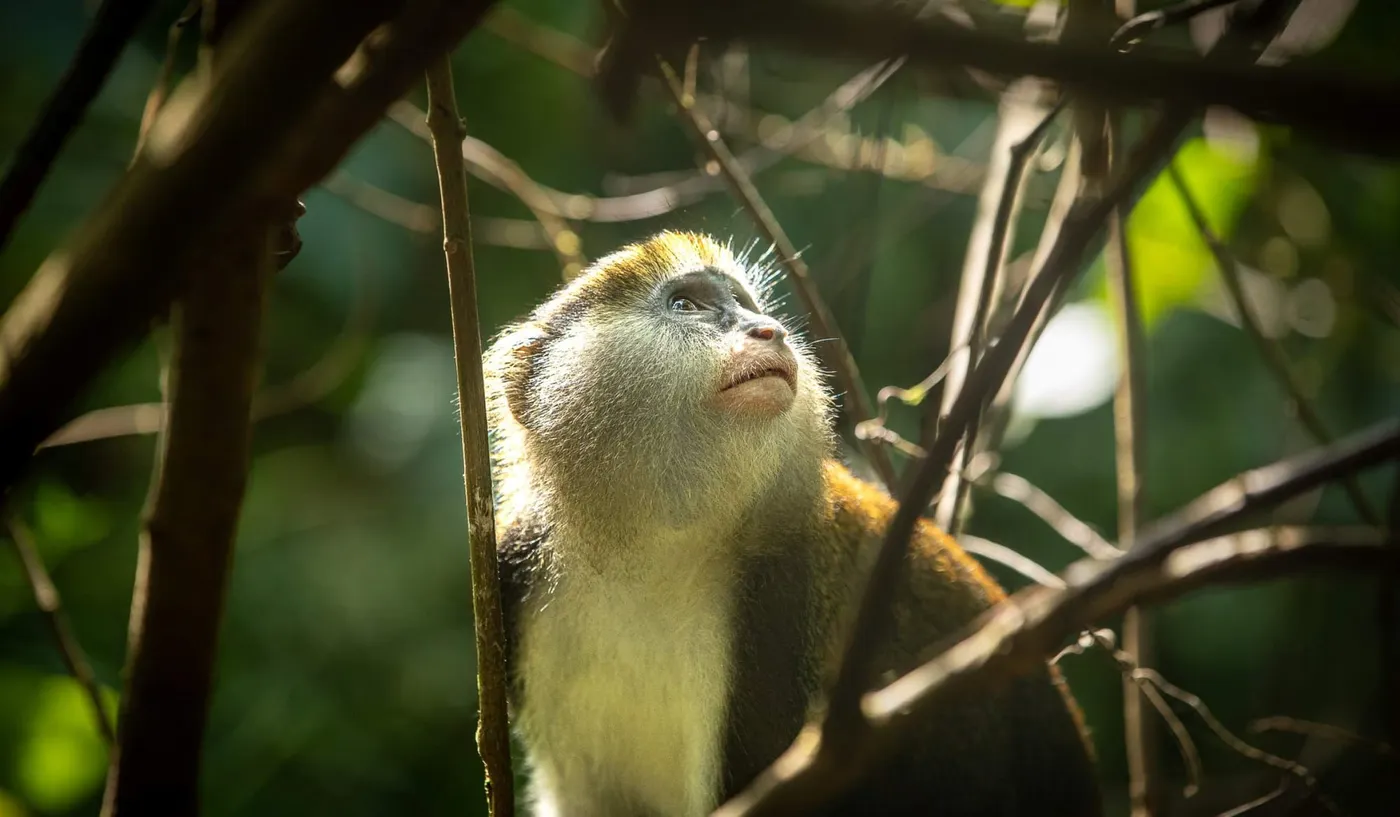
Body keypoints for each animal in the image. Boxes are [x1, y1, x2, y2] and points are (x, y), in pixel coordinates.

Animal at [484, 231, 1103, 817]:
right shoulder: (515, 559)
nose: (767, 330)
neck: (648, 552)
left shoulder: (782, 591)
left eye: (741, 304)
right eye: (686, 304)